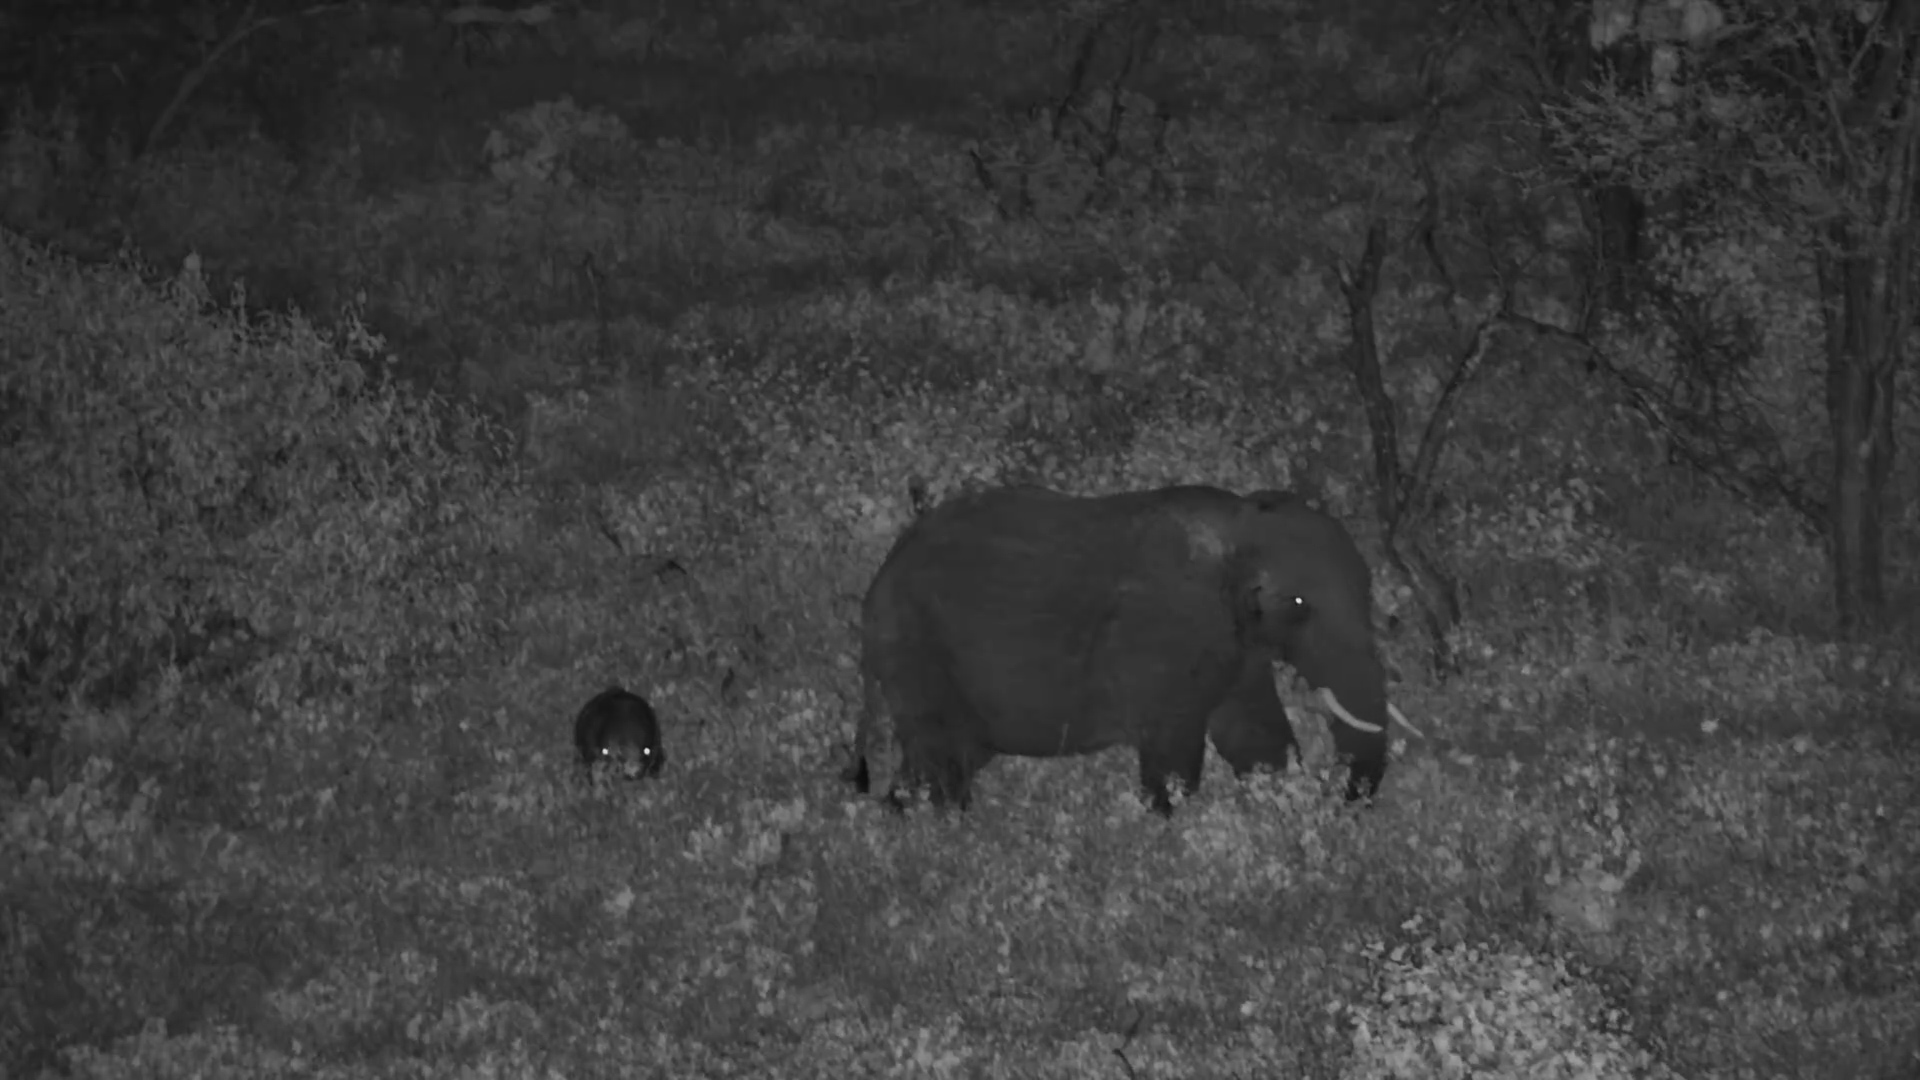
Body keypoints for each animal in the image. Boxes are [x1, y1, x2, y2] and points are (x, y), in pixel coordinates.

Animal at [849, 484, 1417, 814]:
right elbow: (1175, 756)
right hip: (915, 651)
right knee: (940, 764)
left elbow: (1255, 738)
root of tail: (879, 578)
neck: (1241, 524)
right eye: (1299, 603)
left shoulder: (1234, 644)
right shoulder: (1172, 637)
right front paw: (1170, 820)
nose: (1344, 801)